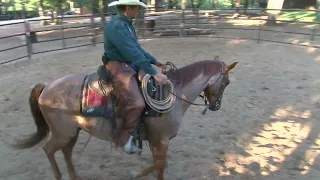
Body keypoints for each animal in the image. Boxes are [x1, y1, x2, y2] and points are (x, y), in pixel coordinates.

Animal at [10, 55, 238, 179]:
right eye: (226, 82)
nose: (216, 106)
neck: (175, 93)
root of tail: (47, 87)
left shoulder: (156, 142)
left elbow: (157, 165)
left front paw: (136, 174)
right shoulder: (161, 140)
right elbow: (160, 168)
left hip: (72, 132)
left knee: (66, 152)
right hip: (62, 133)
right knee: (48, 150)